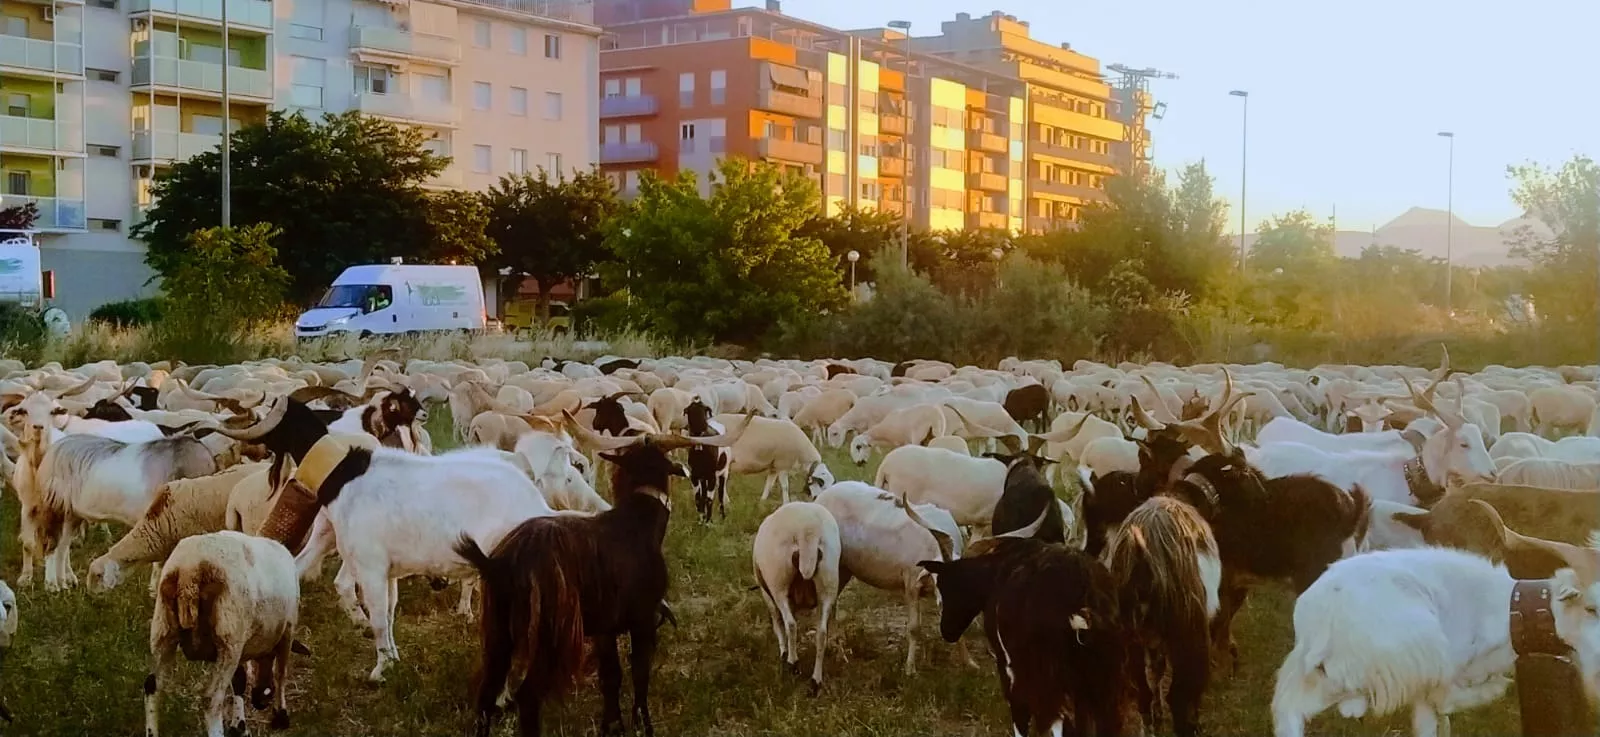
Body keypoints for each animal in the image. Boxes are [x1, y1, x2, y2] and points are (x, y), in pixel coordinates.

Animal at [146, 531, 300, 737]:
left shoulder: (244, 645)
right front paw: (281, 716)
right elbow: (281, 672)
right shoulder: (287, 630)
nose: (259, 702)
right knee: (212, 699)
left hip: (163, 629)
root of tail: (189, 571)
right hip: (228, 638)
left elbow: (240, 680)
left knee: (152, 686)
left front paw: (239, 726)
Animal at [751, 501, 842, 694]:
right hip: (828, 583)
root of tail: (807, 530)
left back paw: (793, 663)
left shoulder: (767, 595)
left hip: (778, 582)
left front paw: (783, 652)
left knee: (791, 624)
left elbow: (777, 623)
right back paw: (816, 680)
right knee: (821, 632)